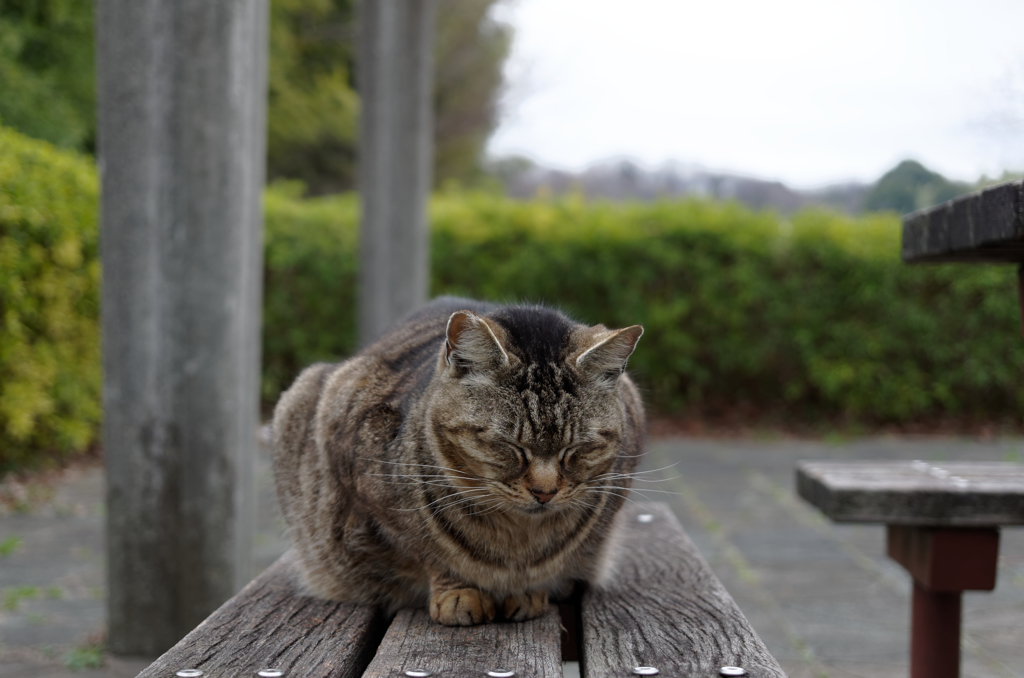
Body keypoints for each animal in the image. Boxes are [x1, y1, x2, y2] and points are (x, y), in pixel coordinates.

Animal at [270, 297, 638, 626]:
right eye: (509, 445)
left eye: (576, 448)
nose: (544, 492)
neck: (517, 535)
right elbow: (428, 549)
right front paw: (459, 592)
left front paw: (525, 590)